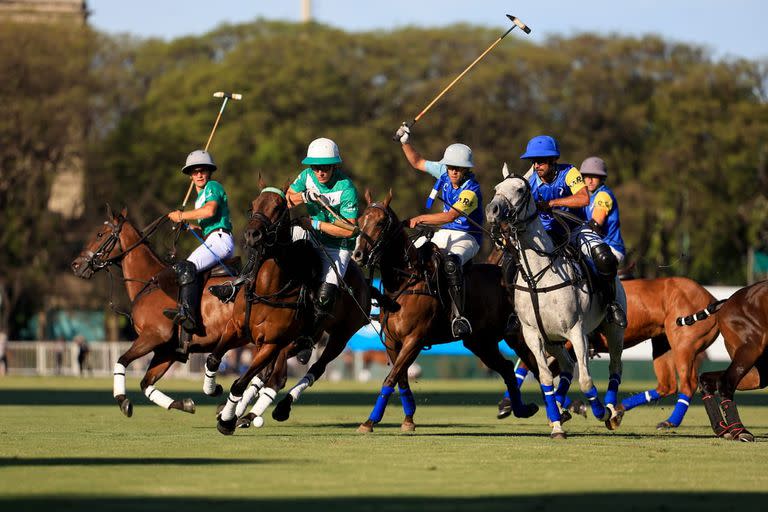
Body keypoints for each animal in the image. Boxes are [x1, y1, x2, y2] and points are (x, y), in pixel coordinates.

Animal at [210, 186, 372, 434]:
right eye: (253, 204)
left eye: (278, 207)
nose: (252, 235)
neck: (268, 288)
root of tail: (363, 282)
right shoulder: (236, 330)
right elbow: (213, 359)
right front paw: (213, 391)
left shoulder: (271, 343)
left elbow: (240, 382)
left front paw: (227, 421)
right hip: (299, 340)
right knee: (271, 375)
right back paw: (245, 414)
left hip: (339, 336)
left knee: (311, 370)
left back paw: (277, 409)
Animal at [352, 190, 536, 434]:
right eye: (360, 221)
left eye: (381, 222)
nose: (358, 255)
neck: (405, 281)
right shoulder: (392, 341)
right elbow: (400, 378)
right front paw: (408, 419)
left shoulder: (415, 339)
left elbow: (390, 379)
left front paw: (370, 421)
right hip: (480, 342)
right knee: (507, 368)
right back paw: (521, 409)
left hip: (517, 335)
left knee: (539, 365)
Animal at [488, 168, 628, 440]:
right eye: (497, 188)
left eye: (520, 189)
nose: (492, 210)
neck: (538, 276)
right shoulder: (532, 335)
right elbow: (545, 378)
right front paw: (556, 425)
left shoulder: (576, 331)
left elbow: (585, 380)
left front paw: (600, 412)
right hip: (552, 339)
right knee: (566, 366)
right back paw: (562, 412)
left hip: (613, 330)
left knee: (615, 366)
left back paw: (611, 411)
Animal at [504, 276, 720, 428]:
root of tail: (713, 298)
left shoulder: (569, 345)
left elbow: (535, 369)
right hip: (662, 343)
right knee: (667, 385)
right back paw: (619, 410)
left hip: (683, 344)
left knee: (688, 383)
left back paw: (669, 421)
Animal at [680, 278, 768, 442]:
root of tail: (728, 302)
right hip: (750, 348)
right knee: (725, 381)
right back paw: (740, 431)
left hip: (758, 370)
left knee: (705, 379)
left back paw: (722, 428)